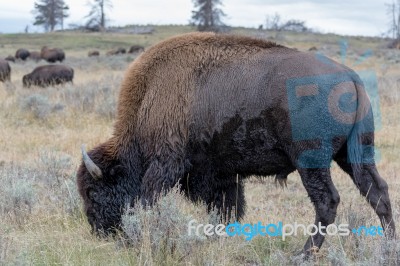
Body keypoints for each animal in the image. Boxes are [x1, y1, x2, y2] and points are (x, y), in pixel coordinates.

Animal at [76, 32, 396, 256]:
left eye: (93, 191)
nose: (98, 230)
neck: (149, 97)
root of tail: (350, 77)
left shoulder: (166, 164)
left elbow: (149, 199)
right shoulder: (221, 174)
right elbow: (227, 208)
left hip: (311, 160)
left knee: (327, 201)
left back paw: (304, 254)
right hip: (355, 154)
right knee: (377, 191)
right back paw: (390, 247)